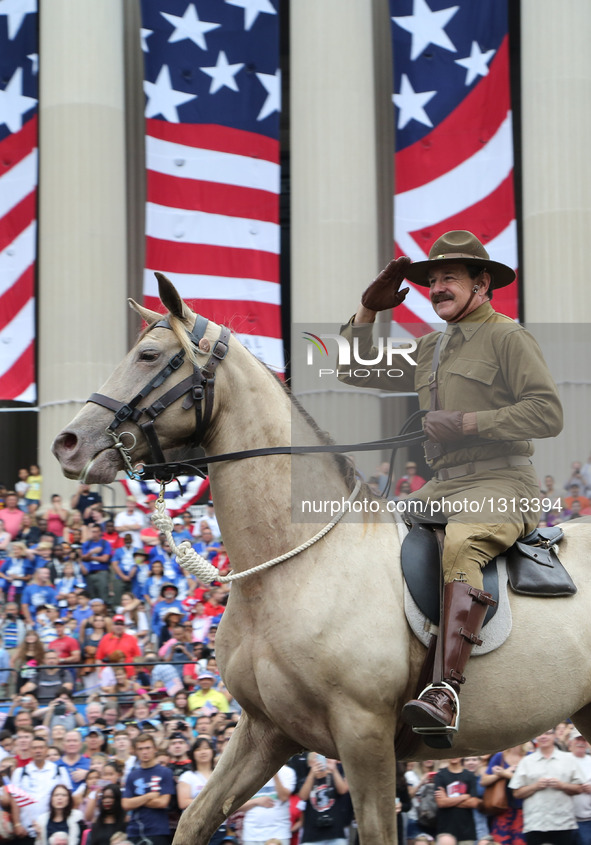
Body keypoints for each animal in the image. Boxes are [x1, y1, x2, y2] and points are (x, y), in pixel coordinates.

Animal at [53, 276, 591, 844]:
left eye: (149, 355)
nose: (67, 443)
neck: (291, 567)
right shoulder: (266, 731)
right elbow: (194, 819)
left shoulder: (363, 733)